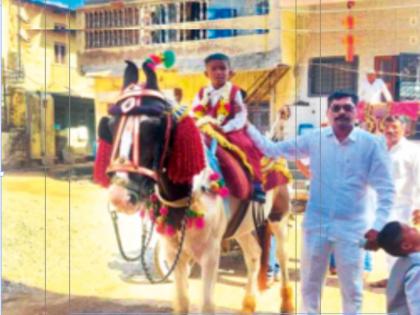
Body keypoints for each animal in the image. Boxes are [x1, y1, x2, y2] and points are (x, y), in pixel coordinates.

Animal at [93, 53, 294, 314]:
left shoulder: (210, 254)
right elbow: (182, 301)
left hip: (279, 216)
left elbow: (207, 304)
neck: (185, 192)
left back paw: (287, 303)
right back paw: (248, 305)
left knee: (281, 254)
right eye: (111, 126)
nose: (120, 197)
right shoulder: (173, 253)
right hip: (244, 226)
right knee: (253, 255)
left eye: (154, 127)